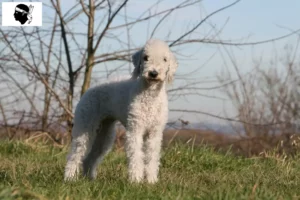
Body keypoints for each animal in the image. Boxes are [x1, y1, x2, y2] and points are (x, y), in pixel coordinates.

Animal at [63, 38, 176, 183]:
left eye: (165, 59)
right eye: (146, 57)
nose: (153, 73)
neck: (150, 95)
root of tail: (88, 91)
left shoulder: (154, 133)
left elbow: (152, 158)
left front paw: (151, 181)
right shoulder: (135, 129)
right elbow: (136, 155)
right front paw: (136, 180)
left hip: (105, 133)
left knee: (90, 158)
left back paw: (91, 180)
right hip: (85, 125)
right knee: (75, 154)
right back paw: (69, 178)